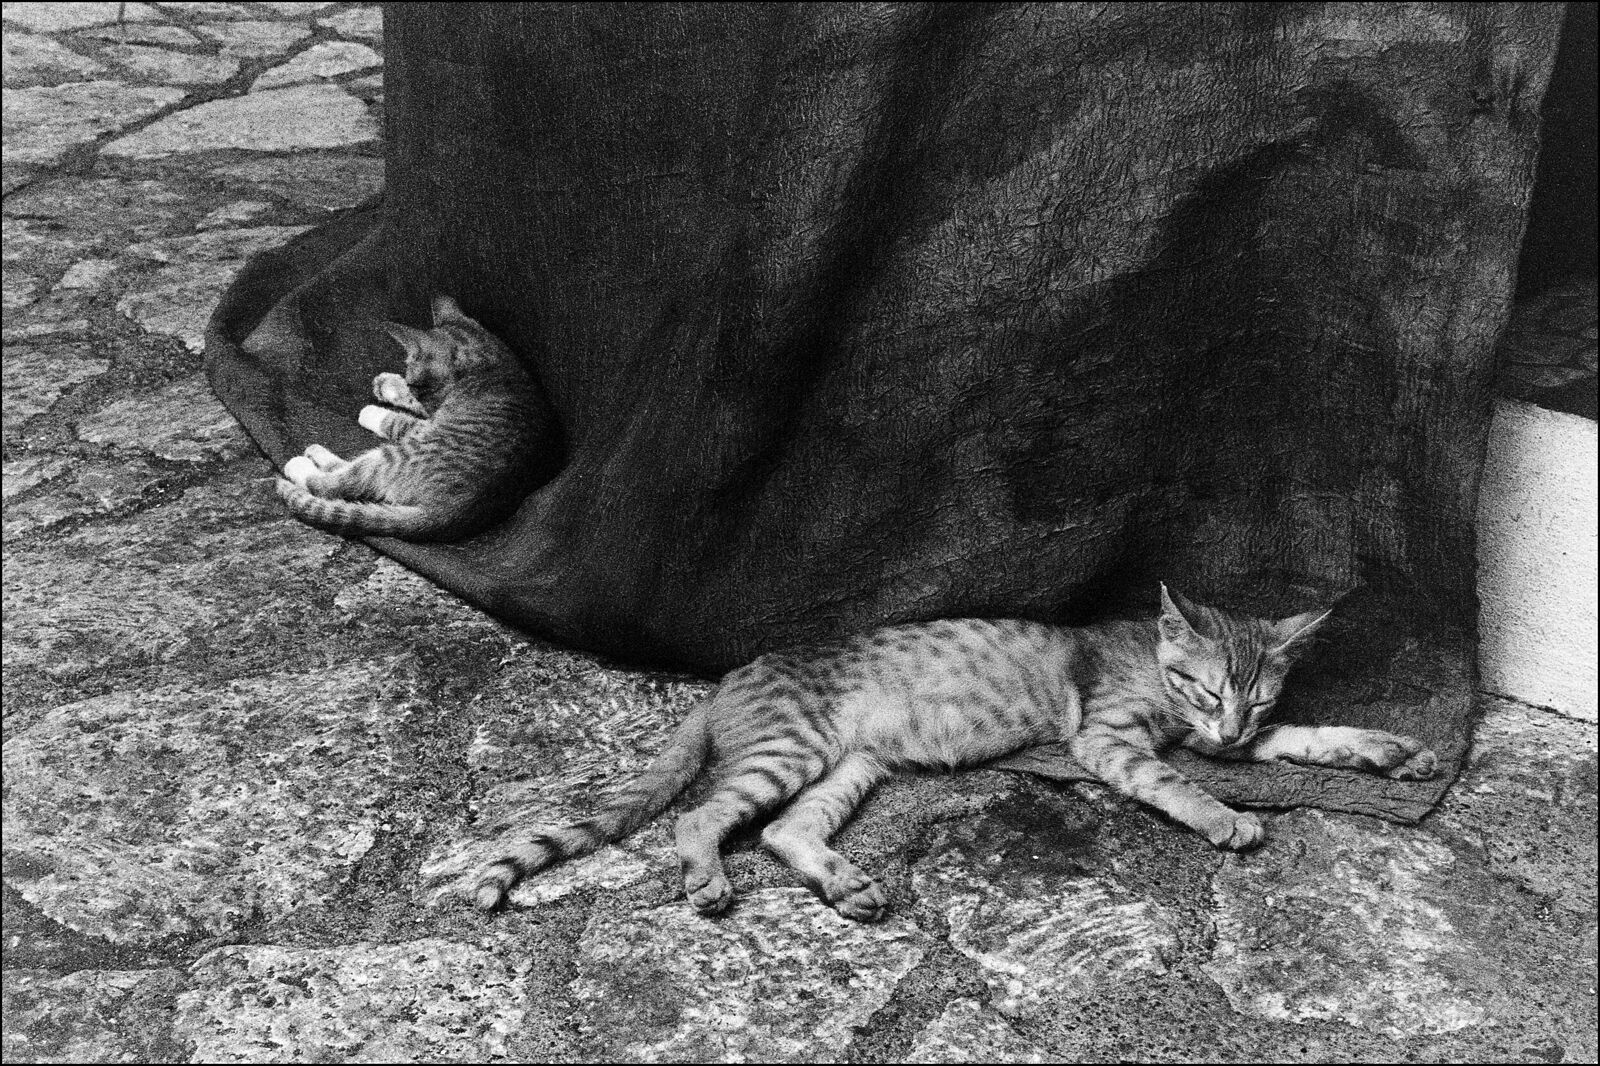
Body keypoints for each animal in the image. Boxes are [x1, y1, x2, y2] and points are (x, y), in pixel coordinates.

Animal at [276, 295, 550, 541]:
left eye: (414, 382)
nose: (408, 384)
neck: (491, 366)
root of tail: (447, 513)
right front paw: (388, 384)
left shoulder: (425, 425)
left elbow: (397, 420)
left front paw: (373, 409)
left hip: (394, 455)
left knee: (332, 483)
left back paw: (302, 462)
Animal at [474, 586, 1436, 920]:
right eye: (1206, 689)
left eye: (1257, 695)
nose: (1227, 727)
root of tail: (731, 678)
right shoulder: (1108, 737)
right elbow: (1174, 782)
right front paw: (1225, 818)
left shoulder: (1241, 737)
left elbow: (1306, 737)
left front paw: (1393, 752)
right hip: (793, 748)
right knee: (703, 816)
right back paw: (708, 881)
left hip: (849, 768)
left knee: (786, 831)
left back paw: (846, 885)